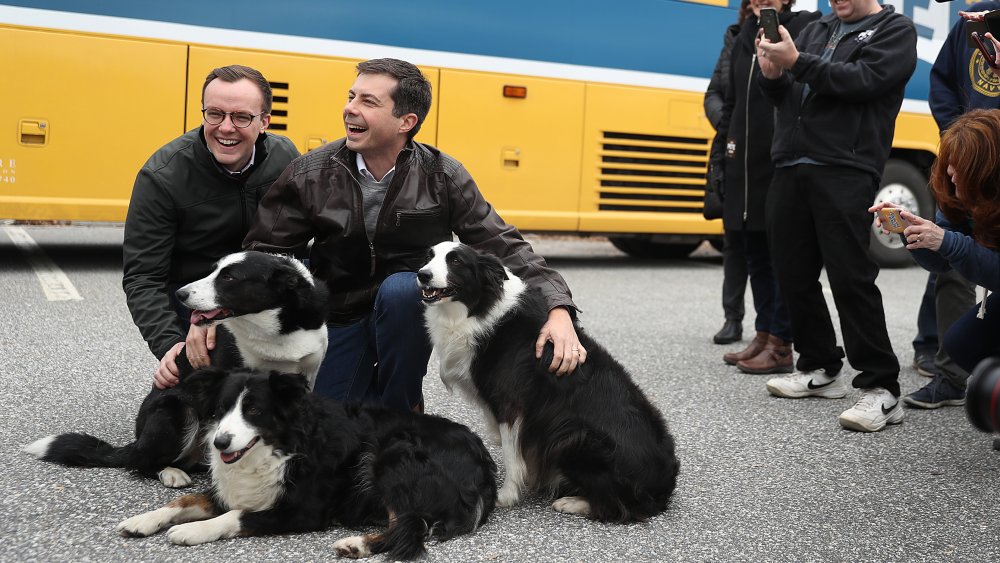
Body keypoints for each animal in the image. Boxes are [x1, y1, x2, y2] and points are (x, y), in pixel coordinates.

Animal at [24, 251, 328, 490]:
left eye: (229, 278)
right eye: (214, 270)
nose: (181, 294)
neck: (275, 329)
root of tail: (135, 443)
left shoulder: (307, 376)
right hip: (175, 411)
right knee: (139, 464)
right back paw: (170, 472)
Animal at [115, 370, 498, 560]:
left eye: (254, 411)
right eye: (222, 409)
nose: (220, 442)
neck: (282, 448)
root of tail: (485, 467)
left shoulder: (302, 510)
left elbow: (236, 516)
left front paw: (193, 531)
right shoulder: (234, 488)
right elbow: (185, 500)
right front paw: (142, 520)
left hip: (391, 455)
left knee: (409, 526)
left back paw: (356, 544)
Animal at [414, 240, 680, 524]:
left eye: (455, 261)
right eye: (429, 257)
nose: (422, 274)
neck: (478, 307)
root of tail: (664, 483)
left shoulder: (511, 403)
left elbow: (512, 453)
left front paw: (505, 495)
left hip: (574, 436)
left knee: (618, 505)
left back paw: (573, 502)